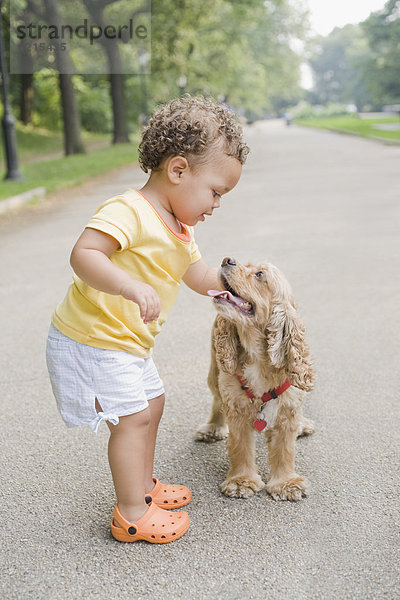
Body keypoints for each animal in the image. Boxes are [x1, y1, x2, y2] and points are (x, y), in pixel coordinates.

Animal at [195, 255, 314, 500]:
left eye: (260, 275)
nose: (227, 259)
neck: (257, 354)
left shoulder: (288, 406)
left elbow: (284, 449)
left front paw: (287, 483)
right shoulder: (236, 405)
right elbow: (240, 446)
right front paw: (242, 481)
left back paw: (303, 425)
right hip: (215, 372)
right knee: (216, 401)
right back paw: (212, 428)